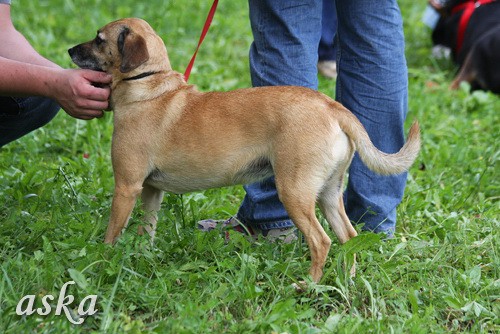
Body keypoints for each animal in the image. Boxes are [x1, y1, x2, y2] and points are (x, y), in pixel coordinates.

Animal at [68, 18, 420, 284]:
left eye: (99, 40)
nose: (70, 50)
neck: (149, 85)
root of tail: (332, 106)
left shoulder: (126, 187)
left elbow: (112, 233)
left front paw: (103, 260)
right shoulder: (151, 191)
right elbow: (147, 229)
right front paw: (140, 257)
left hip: (294, 192)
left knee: (322, 242)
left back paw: (309, 285)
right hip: (328, 194)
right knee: (348, 238)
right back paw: (348, 279)